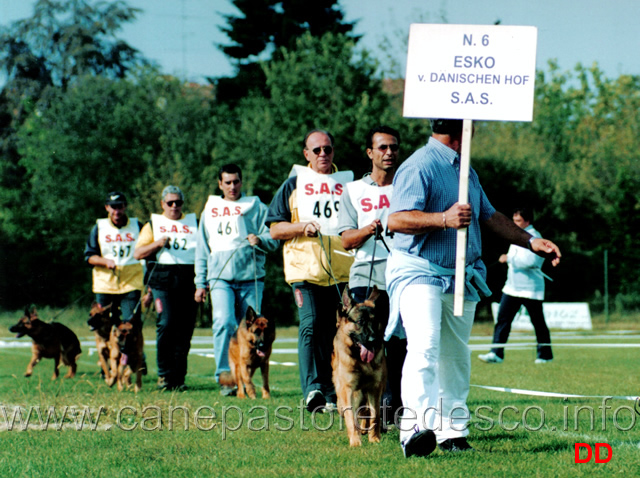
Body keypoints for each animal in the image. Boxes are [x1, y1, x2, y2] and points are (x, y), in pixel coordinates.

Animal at [332, 286, 388, 446]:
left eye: (374, 321)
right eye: (360, 321)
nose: (373, 340)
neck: (360, 361)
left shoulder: (375, 388)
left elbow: (375, 415)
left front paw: (374, 439)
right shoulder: (348, 389)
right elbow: (351, 416)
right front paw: (355, 441)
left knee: (366, 411)